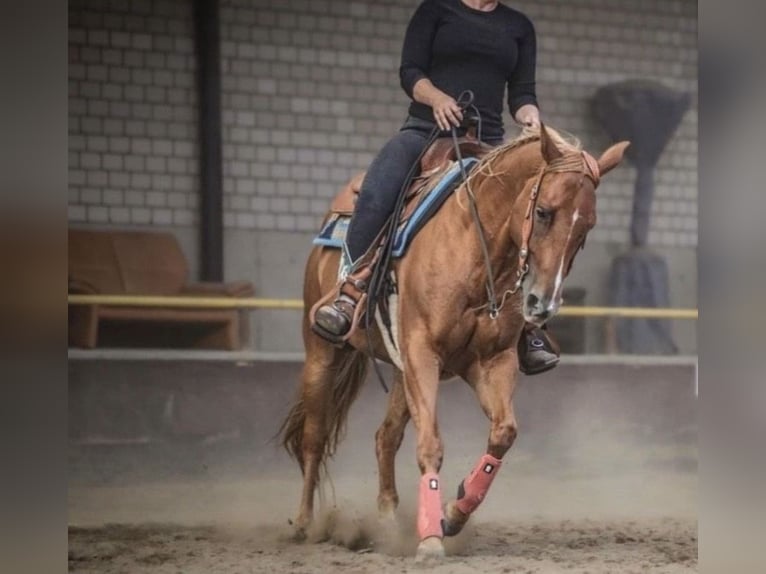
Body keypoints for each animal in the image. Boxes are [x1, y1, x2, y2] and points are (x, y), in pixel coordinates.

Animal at [280, 124, 632, 560]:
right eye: (544, 212)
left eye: (587, 229)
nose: (542, 304)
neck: (477, 256)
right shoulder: (422, 353)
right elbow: (430, 444)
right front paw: (431, 537)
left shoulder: (491, 361)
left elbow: (503, 433)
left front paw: (452, 513)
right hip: (323, 351)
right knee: (314, 437)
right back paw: (305, 523)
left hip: (401, 372)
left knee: (385, 438)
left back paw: (388, 523)